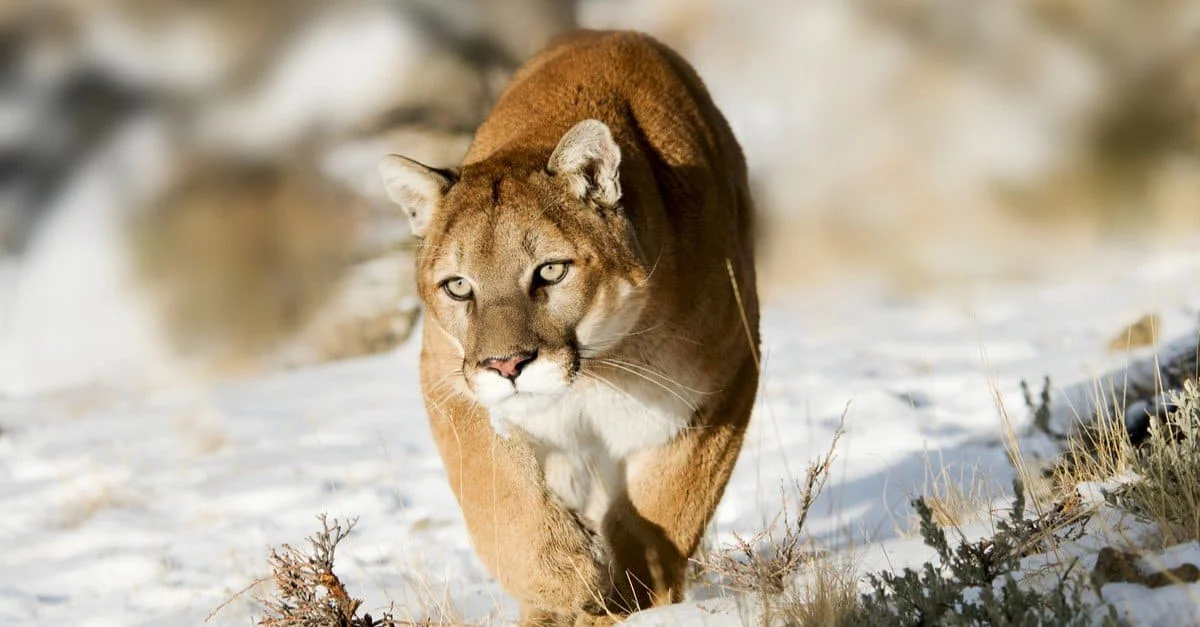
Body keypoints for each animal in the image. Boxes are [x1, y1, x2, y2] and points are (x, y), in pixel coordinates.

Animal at [378, 29, 759, 625]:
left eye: (551, 271)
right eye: (458, 286)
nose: (506, 365)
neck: (597, 372)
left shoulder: (725, 379)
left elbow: (670, 502)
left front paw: (633, 597)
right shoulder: (449, 381)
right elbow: (500, 500)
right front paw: (566, 583)